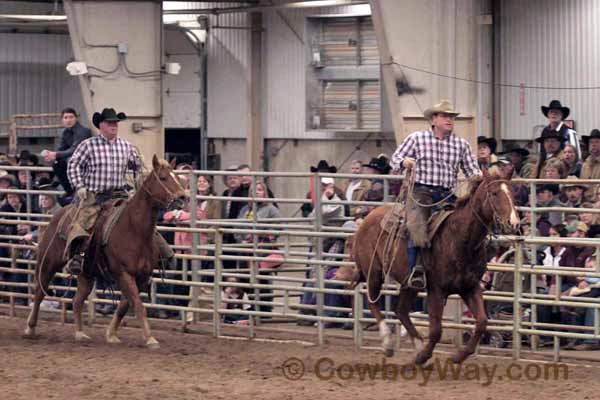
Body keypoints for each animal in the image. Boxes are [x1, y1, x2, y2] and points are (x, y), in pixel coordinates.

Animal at [24, 155, 186, 348]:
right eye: (163, 177)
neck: (135, 229)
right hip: (49, 261)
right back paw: (31, 328)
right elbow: (138, 306)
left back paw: (80, 333)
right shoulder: (123, 273)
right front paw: (150, 338)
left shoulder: (142, 276)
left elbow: (125, 305)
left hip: (86, 273)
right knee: (39, 292)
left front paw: (111, 334)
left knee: (77, 301)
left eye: (177, 177)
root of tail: (58, 215)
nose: (182, 197)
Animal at [352, 172, 520, 366]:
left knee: (400, 310)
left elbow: (482, 322)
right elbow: (436, 330)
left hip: (409, 284)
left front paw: (459, 356)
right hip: (373, 271)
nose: (514, 223)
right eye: (493, 193)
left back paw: (418, 344)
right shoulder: (437, 291)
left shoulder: (470, 287)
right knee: (373, 301)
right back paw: (388, 343)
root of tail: (368, 217)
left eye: (513, 193)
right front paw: (423, 357)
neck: (459, 238)